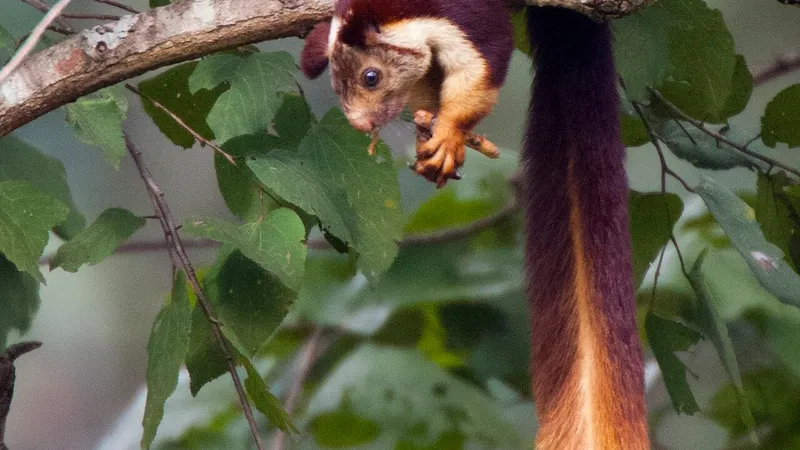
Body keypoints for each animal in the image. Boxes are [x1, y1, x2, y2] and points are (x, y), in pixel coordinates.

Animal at [301, 1, 649, 449]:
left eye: (371, 77)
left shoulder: (468, 18)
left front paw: (449, 133)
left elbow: (481, 65)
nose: (361, 125)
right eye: (335, 85)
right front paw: (430, 131)